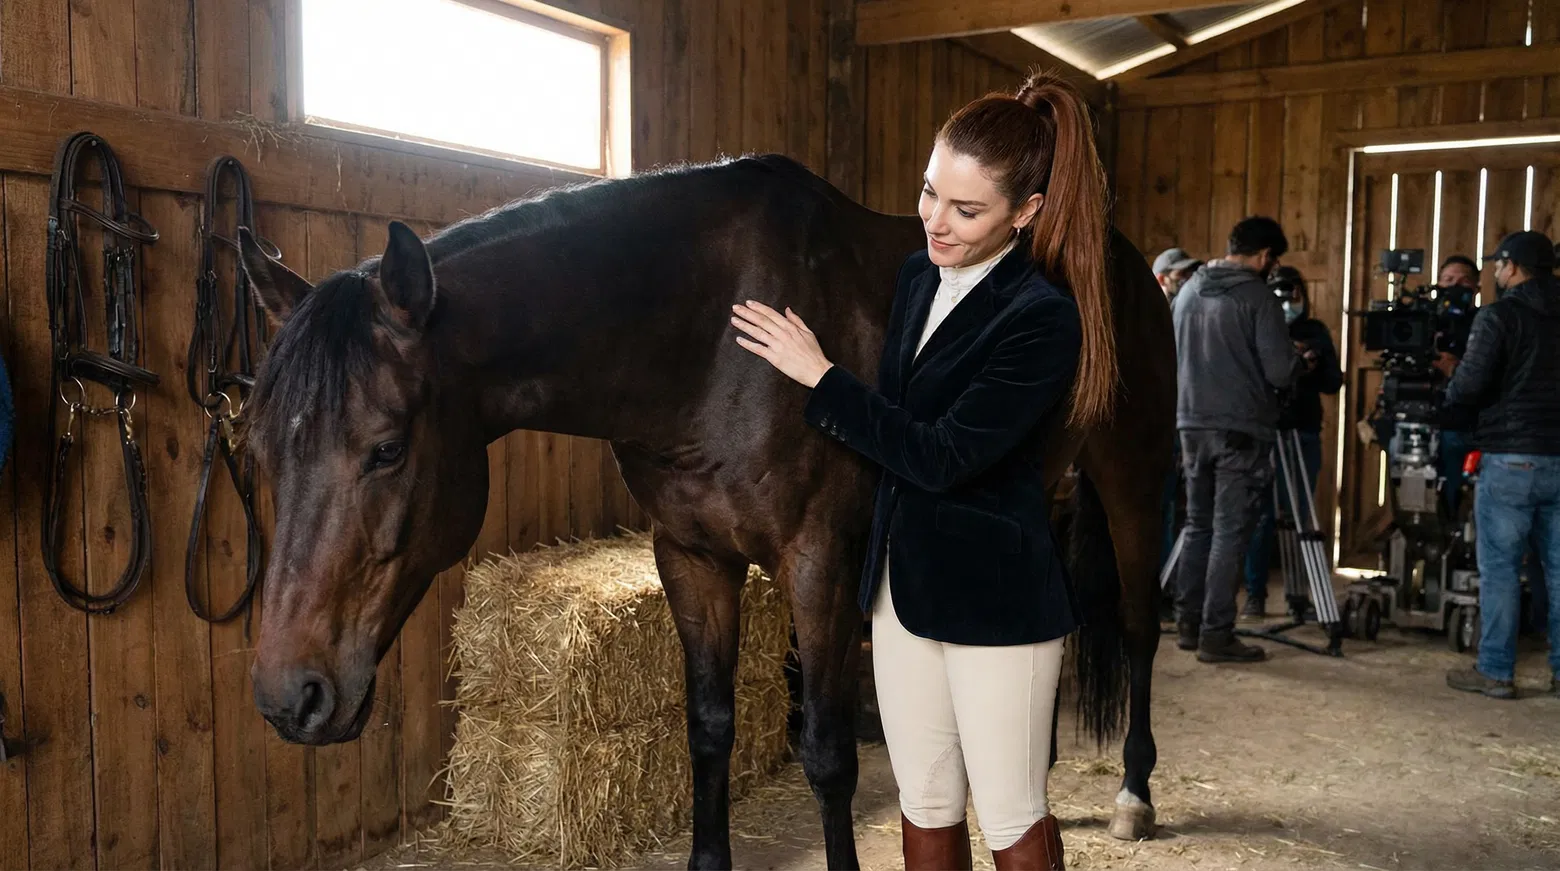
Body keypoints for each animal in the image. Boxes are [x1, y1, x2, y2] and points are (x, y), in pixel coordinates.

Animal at [238, 154, 1174, 870]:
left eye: (387, 447)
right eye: (259, 447)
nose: (292, 696)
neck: (708, 339)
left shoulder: (819, 561)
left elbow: (827, 752)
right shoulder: (690, 555)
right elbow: (708, 727)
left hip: (1132, 478)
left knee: (1136, 627)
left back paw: (1133, 794)